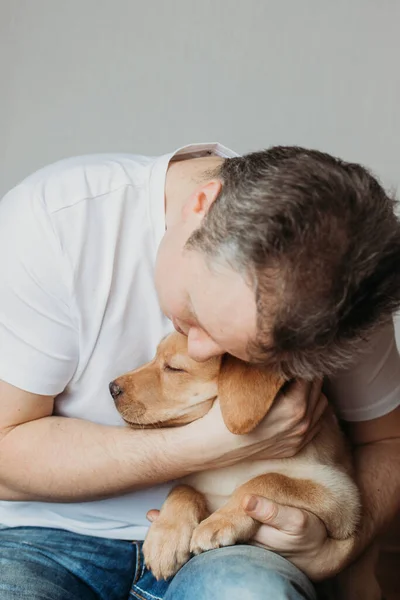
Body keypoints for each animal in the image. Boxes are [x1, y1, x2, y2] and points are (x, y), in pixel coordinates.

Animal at [109, 330, 368, 592]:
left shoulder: (342, 496)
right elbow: (183, 489)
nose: (112, 388)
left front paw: (221, 522)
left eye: (174, 368)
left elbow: (269, 479)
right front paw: (165, 537)